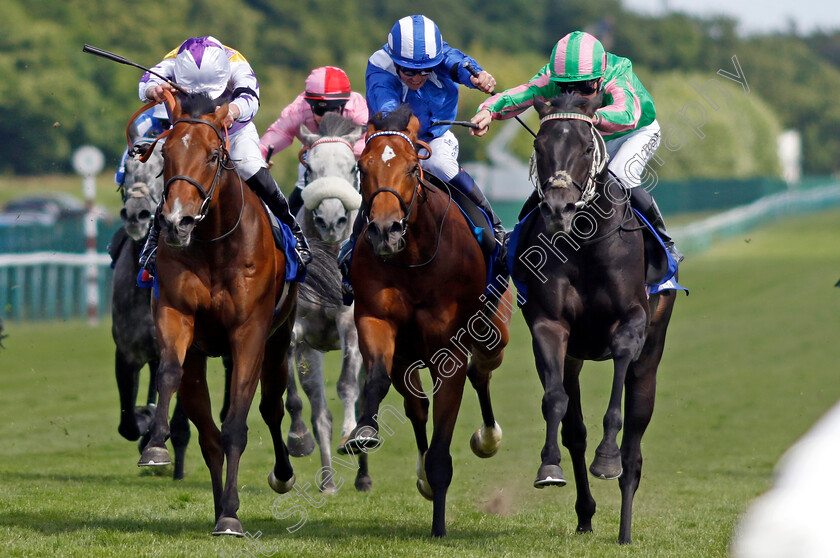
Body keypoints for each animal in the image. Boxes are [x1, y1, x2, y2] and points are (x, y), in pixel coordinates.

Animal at [136, 93, 296, 540]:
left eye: (213, 155)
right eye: (166, 154)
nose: (177, 222)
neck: (212, 243)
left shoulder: (249, 334)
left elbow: (236, 426)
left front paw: (231, 517)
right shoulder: (175, 315)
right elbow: (168, 374)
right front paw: (155, 446)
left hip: (278, 341)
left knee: (271, 408)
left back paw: (279, 476)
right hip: (199, 357)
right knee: (207, 432)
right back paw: (219, 501)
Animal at [344, 105, 516, 540]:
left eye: (410, 167)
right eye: (363, 166)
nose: (384, 230)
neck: (414, 258)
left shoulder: (449, 350)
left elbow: (443, 442)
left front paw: (439, 527)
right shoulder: (375, 318)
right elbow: (376, 378)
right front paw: (364, 431)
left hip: (495, 333)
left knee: (482, 371)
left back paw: (488, 438)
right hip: (408, 356)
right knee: (416, 406)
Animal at [512, 95, 684, 548]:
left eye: (588, 147)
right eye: (538, 145)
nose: (558, 208)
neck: (583, 243)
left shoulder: (633, 320)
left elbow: (619, 404)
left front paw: (606, 459)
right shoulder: (550, 326)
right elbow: (555, 401)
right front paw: (548, 467)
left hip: (652, 355)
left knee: (635, 443)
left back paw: (624, 527)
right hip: (574, 357)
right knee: (575, 430)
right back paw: (585, 514)